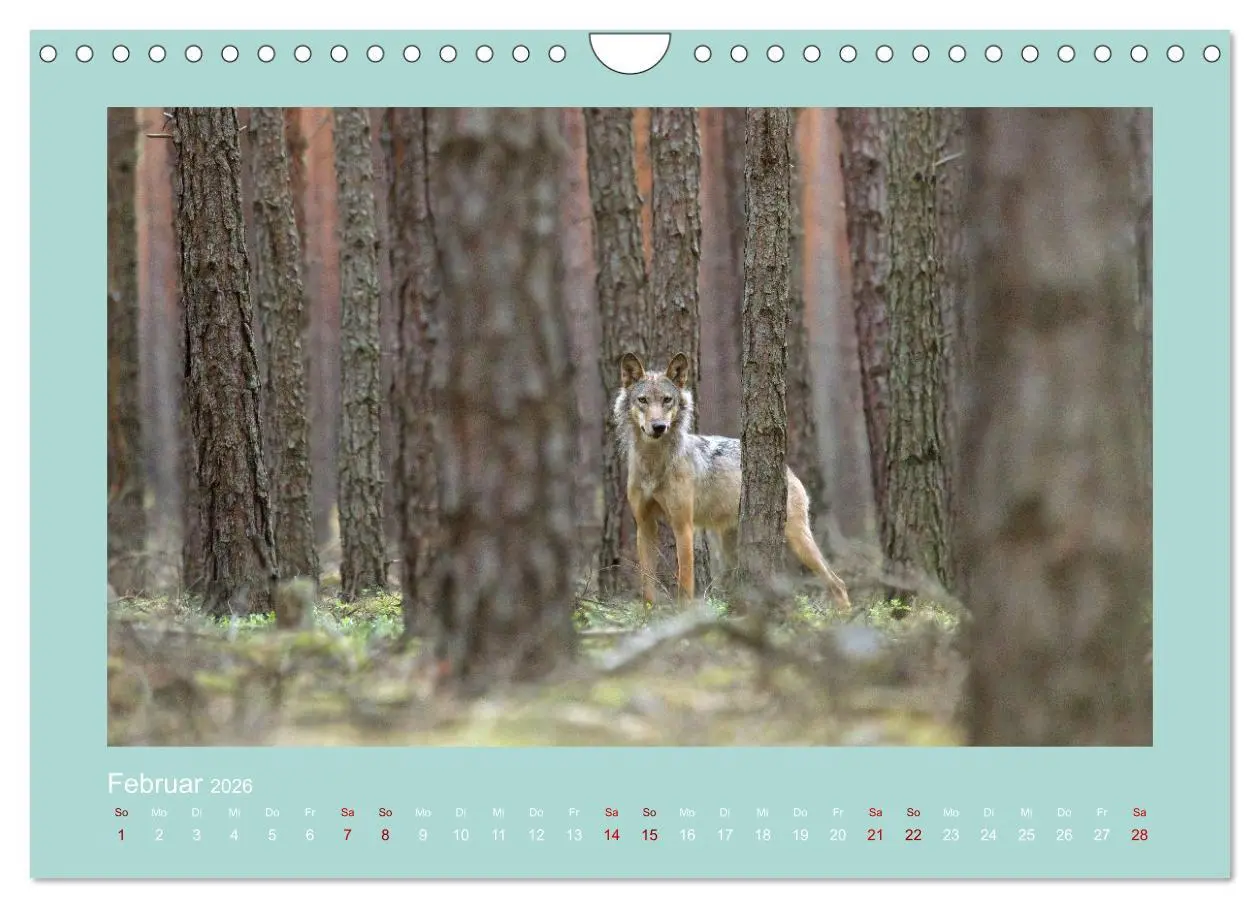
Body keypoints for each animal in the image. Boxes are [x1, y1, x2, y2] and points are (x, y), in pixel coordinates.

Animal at [614, 351, 853, 613]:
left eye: (667, 400)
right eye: (643, 400)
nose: (659, 427)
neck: (653, 464)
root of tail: (788, 470)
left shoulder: (683, 526)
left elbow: (685, 585)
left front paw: (684, 617)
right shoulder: (645, 526)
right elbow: (647, 586)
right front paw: (648, 618)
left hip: (797, 539)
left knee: (837, 582)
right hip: (731, 546)